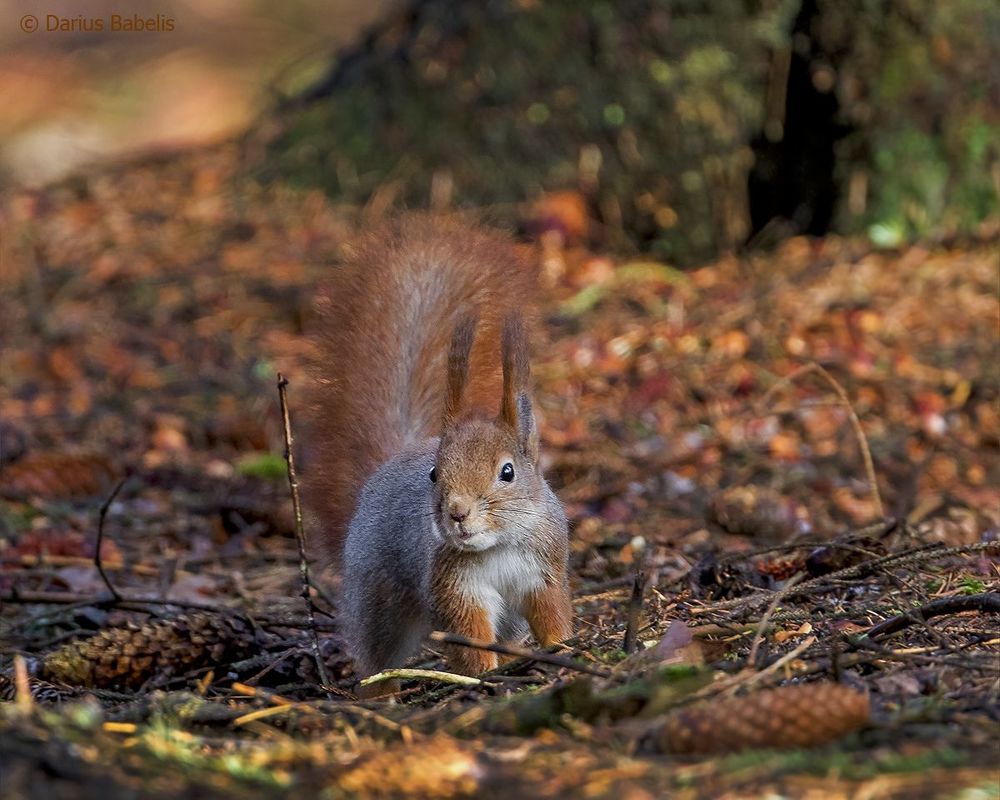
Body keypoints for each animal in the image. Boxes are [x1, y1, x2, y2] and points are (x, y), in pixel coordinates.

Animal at [304, 214, 573, 691]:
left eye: (507, 472)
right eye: (434, 474)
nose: (457, 512)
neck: (497, 547)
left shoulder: (544, 572)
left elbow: (551, 614)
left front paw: (563, 650)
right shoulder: (454, 589)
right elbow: (469, 635)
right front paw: (483, 675)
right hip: (377, 603)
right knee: (378, 658)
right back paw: (382, 693)